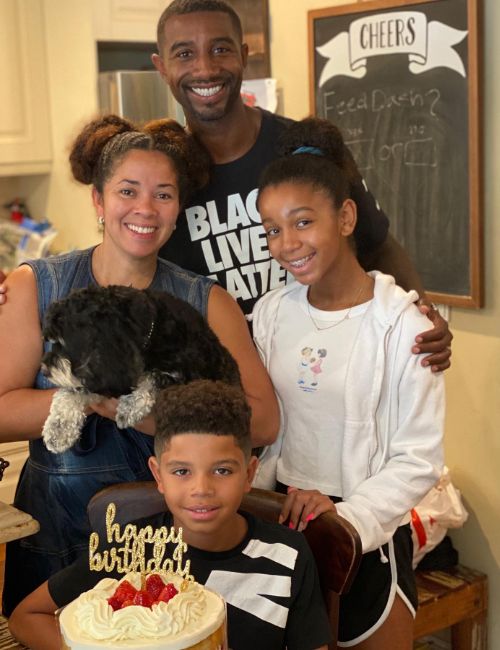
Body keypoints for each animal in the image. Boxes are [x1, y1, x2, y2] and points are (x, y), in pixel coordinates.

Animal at [41, 284, 240, 450]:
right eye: (52, 342)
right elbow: (70, 393)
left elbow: (154, 377)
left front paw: (130, 407)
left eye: (63, 342)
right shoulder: (104, 374)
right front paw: (57, 430)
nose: (44, 370)